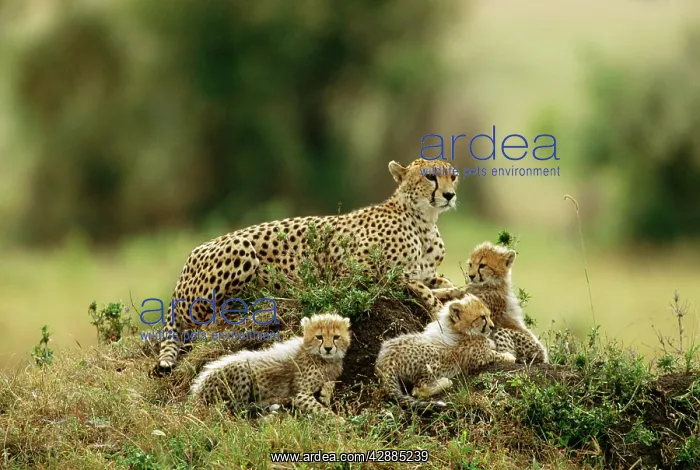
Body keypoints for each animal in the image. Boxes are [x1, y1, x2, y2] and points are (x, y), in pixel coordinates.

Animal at [155, 158, 464, 374]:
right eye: (430, 176)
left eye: (453, 176)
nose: (449, 195)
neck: (424, 220)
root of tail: (189, 258)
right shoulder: (357, 273)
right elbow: (420, 288)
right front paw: (439, 308)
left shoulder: (426, 272)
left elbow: (441, 282)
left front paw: (456, 293)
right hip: (240, 251)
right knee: (206, 320)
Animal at [189, 312, 350, 418]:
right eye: (319, 337)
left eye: (336, 337)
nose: (328, 348)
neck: (323, 359)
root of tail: (197, 391)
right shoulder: (301, 394)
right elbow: (323, 410)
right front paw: (341, 423)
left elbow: (331, 382)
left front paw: (326, 394)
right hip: (241, 369)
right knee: (238, 409)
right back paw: (277, 401)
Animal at [374, 294, 516, 410]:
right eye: (482, 317)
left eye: (488, 315)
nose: (492, 326)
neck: (461, 330)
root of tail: (386, 359)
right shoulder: (478, 357)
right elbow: (495, 355)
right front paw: (509, 356)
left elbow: (490, 344)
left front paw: (493, 343)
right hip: (434, 358)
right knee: (418, 390)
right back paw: (444, 382)